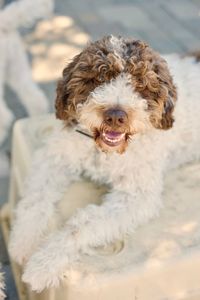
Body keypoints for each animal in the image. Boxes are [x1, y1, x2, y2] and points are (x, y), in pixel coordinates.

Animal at [9, 35, 200, 290]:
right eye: (100, 78)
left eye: (140, 84)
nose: (115, 116)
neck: (104, 152)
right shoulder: (56, 156)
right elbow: (35, 200)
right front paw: (22, 242)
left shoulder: (136, 196)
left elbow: (83, 223)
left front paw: (44, 263)